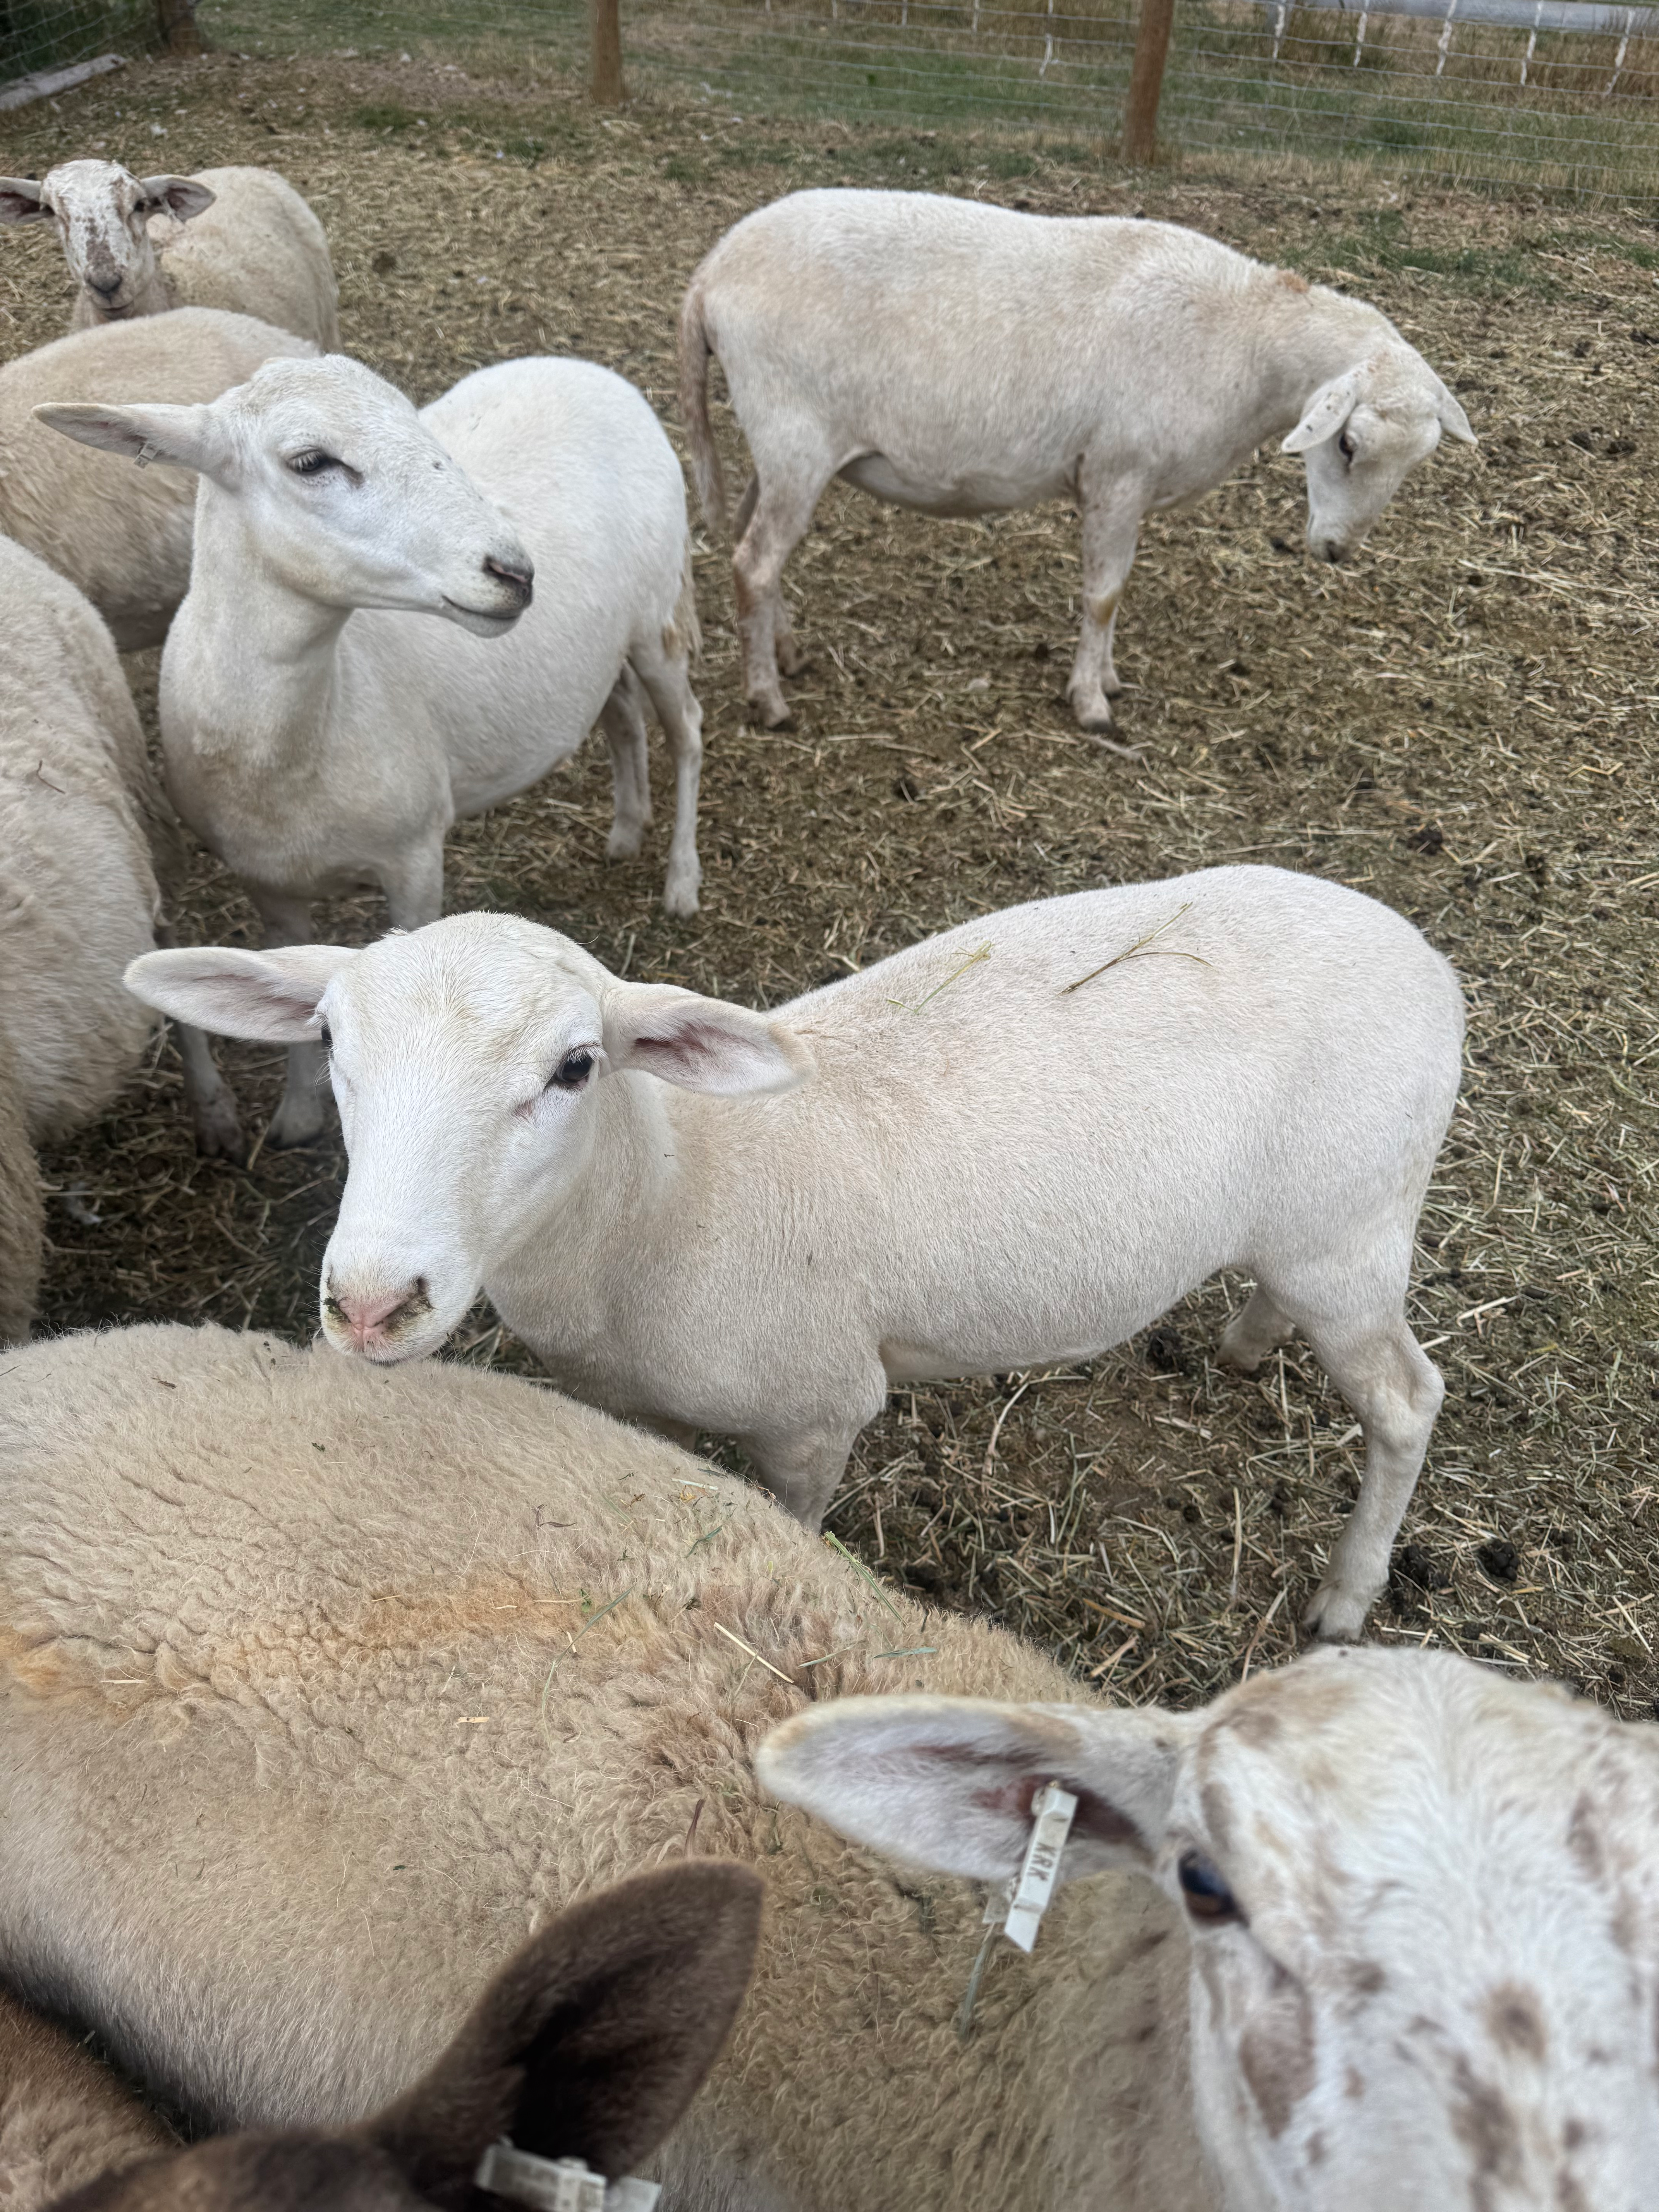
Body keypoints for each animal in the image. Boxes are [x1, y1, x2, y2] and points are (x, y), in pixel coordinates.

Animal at [44, 349, 706, 1148]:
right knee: (620, 713)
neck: (301, 736)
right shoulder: (267, 882)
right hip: (600, 652)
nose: (515, 572)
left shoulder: (414, 855)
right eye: (310, 461)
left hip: (657, 613)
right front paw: (297, 1115)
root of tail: (583, 366)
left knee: (687, 727)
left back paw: (680, 877)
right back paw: (625, 827)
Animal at [129, 863, 1464, 1638]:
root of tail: (1428, 958)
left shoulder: (817, 1413)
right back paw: (1241, 1344)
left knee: (1408, 1397)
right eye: (330, 1045)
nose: (370, 1303)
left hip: (1350, 1230)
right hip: (1308, 1237)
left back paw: (1345, 1597)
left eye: (576, 1066)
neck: (666, 1202)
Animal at [678, 190, 1477, 734]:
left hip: (779, 442)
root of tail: (710, 273)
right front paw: (1091, 704)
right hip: (794, 433)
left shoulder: (1128, 488)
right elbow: (1103, 595)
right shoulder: (1117, 473)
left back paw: (786, 653)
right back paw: (767, 700)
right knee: (753, 562)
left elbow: (1114, 593)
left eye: (1414, 463)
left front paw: (1109, 677)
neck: (1244, 342)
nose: (1336, 550)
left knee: (755, 543)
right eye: (1345, 443)